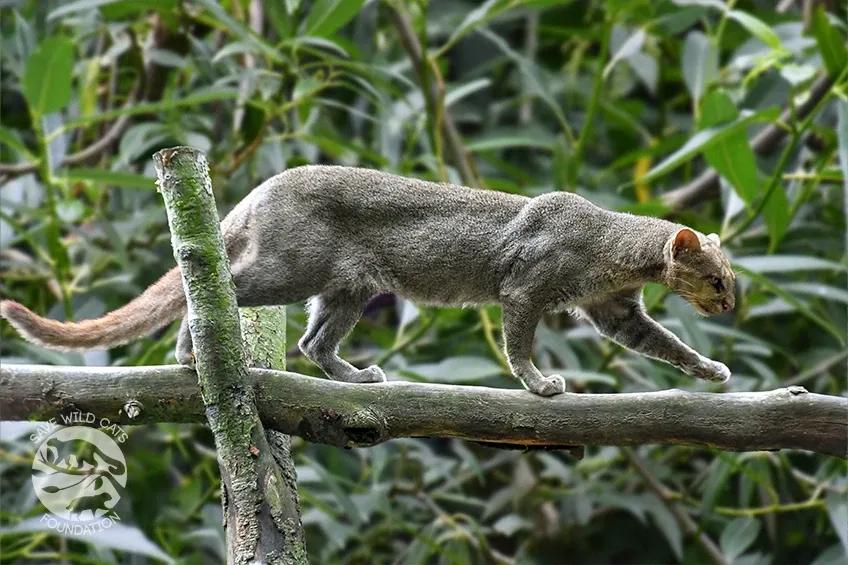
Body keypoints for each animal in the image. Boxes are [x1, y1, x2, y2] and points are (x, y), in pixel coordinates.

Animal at [1, 166, 736, 396]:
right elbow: (517, 343)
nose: (733, 304)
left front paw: (711, 370)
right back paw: (189, 354)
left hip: (347, 288)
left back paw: (356, 376)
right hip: (286, 269)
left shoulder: (615, 311)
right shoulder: (524, 287)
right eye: (717, 280)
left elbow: (666, 344)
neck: (612, 245)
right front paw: (538, 383)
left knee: (312, 343)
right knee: (210, 285)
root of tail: (265, 185)